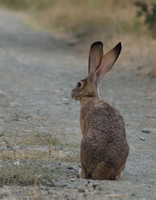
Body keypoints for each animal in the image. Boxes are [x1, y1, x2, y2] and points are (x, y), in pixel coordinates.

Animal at [71, 41, 129, 180]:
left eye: (79, 84)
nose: (72, 93)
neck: (92, 97)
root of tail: (105, 169)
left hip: (83, 146)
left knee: (85, 173)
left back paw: (79, 173)